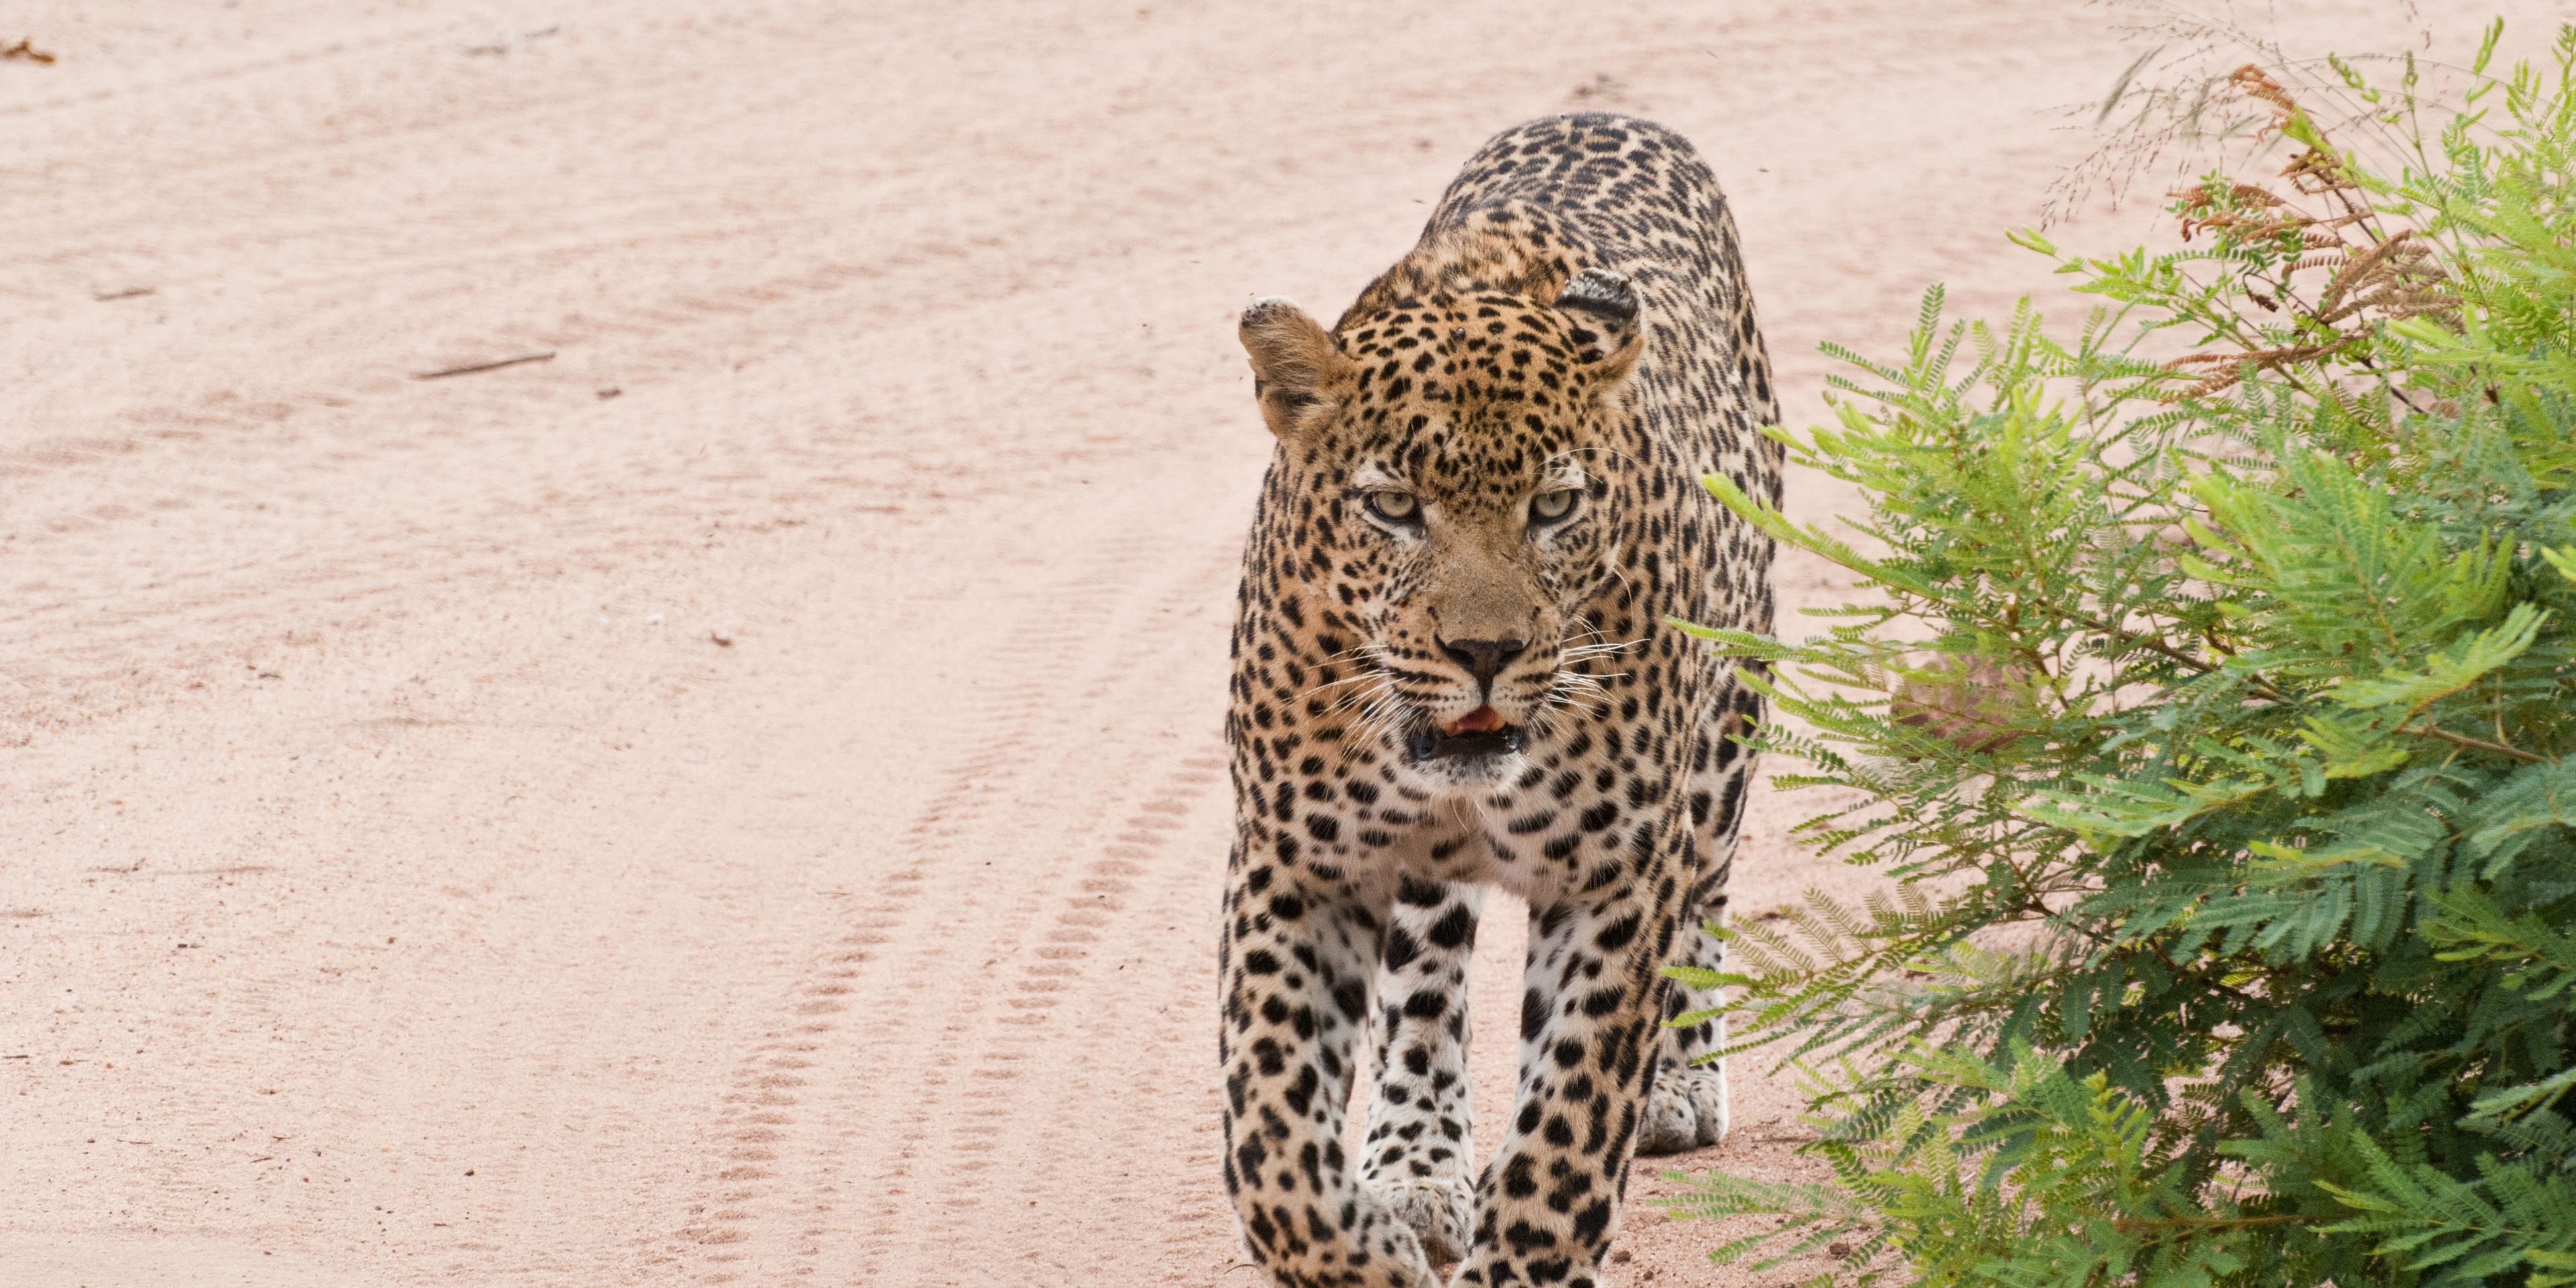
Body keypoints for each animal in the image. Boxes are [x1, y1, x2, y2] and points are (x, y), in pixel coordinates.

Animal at [1216, 112, 1783, 1288]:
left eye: (1554, 507)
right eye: (1393, 507)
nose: (1485, 650)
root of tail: (1604, 116)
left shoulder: (1619, 875)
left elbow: (1567, 1132)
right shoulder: (1295, 862)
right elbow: (1275, 1147)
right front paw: (1374, 1245)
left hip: (1723, 743)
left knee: (1707, 896)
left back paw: (1679, 1084)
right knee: (1424, 985)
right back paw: (1413, 1168)